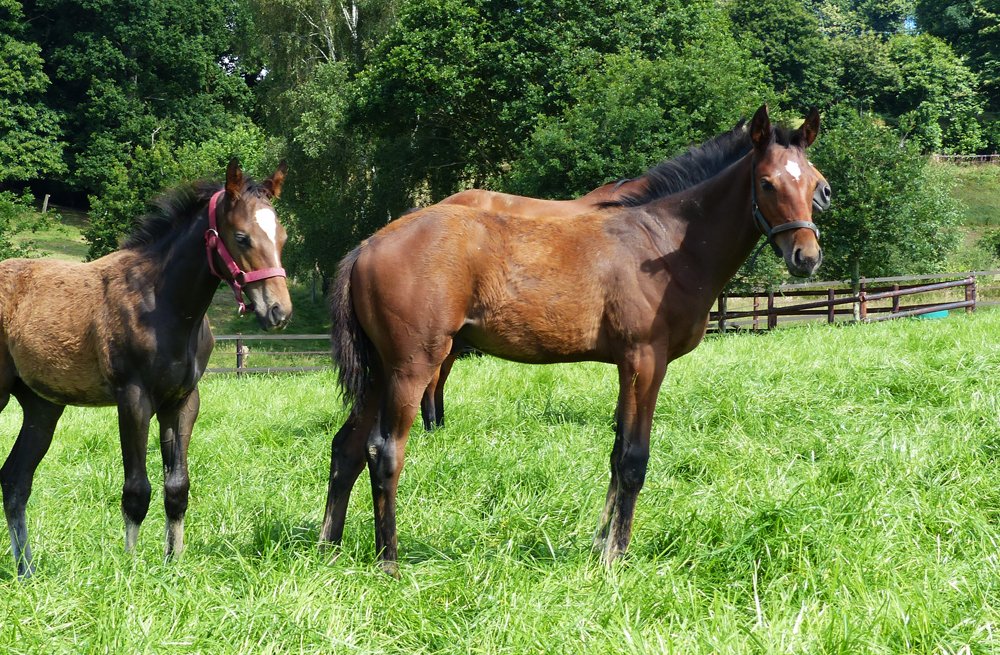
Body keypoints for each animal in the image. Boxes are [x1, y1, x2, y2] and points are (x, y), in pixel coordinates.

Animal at [0, 160, 292, 578]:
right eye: (242, 237)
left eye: (281, 236)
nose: (279, 311)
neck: (163, 304)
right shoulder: (134, 399)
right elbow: (137, 489)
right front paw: (130, 567)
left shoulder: (182, 402)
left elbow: (177, 487)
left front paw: (174, 563)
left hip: (42, 406)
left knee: (15, 480)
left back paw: (27, 570)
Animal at [323, 104, 830, 573]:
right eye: (767, 183)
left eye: (813, 184)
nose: (806, 257)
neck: (665, 246)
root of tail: (367, 246)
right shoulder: (645, 360)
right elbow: (633, 459)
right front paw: (616, 557)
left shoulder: (627, 366)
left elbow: (616, 453)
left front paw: (599, 542)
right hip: (411, 367)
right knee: (385, 450)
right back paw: (388, 561)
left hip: (380, 372)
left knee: (346, 446)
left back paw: (329, 547)